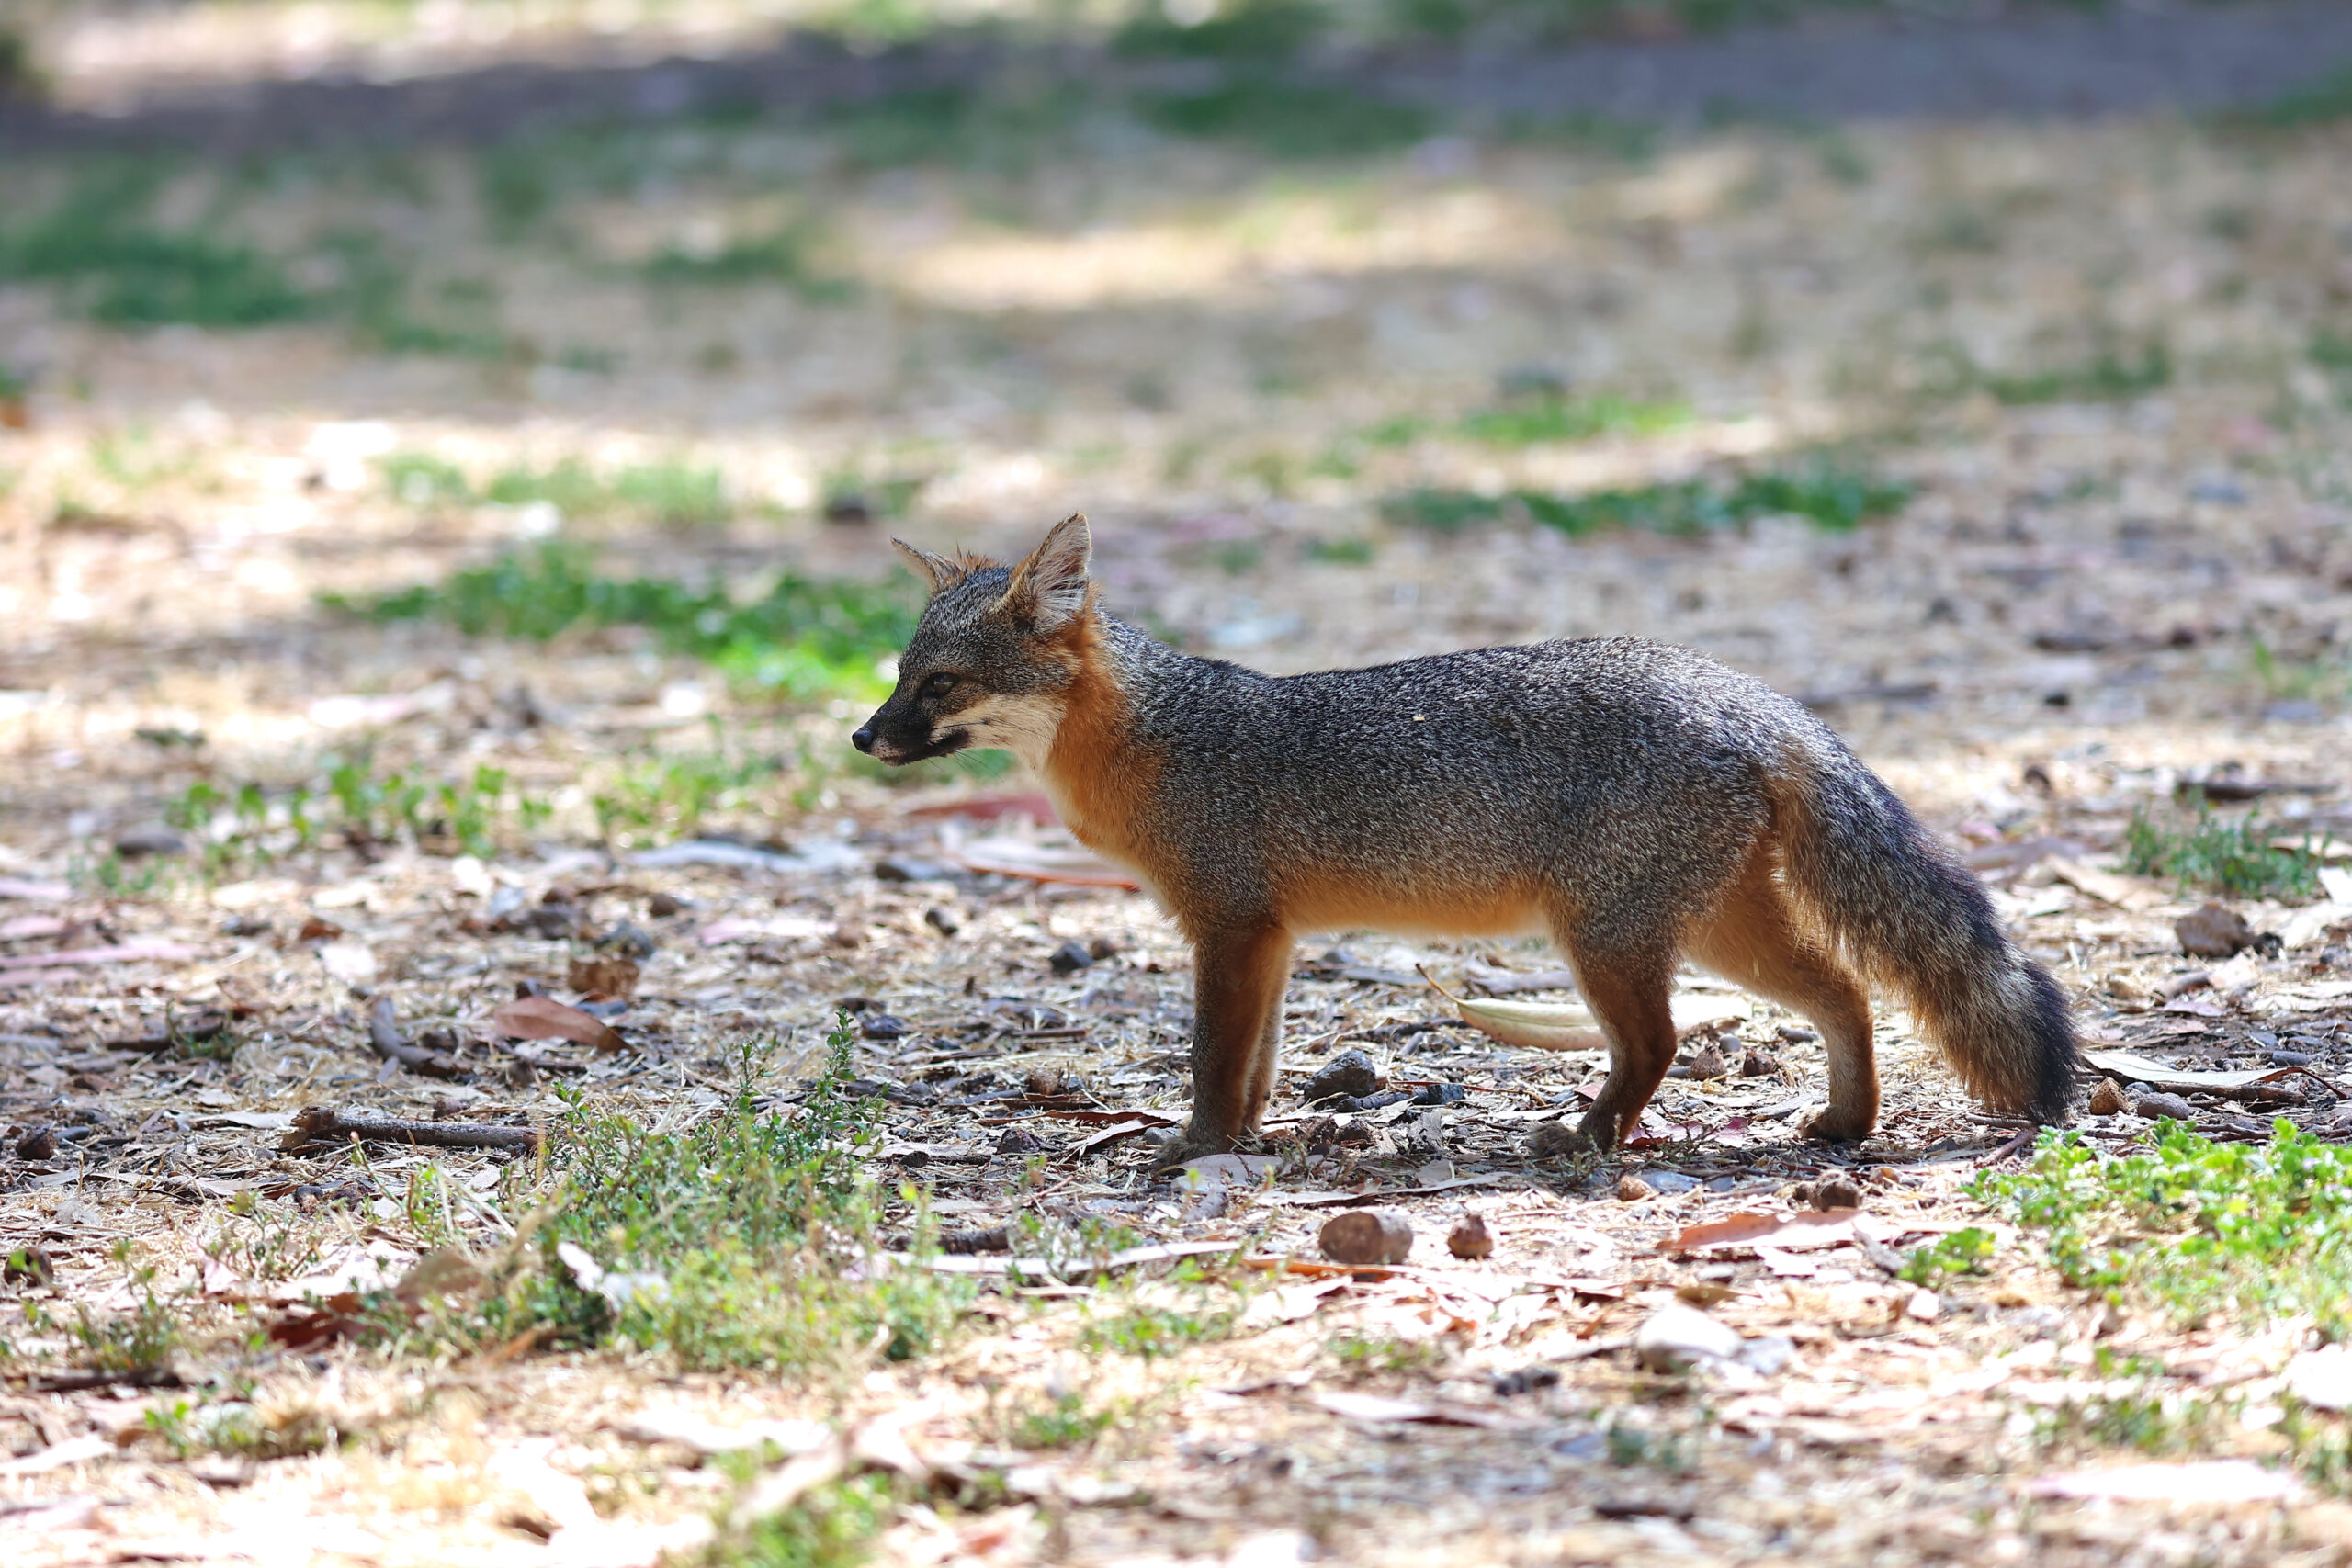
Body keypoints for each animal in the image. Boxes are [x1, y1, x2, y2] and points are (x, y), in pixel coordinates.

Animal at [855, 514, 2088, 1166]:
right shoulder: (1270, 939)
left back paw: (1585, 1138)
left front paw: (1196, 1150)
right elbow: (1254, 1064)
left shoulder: (1232, 927)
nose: (863, 735)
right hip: (1712, 928)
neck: (1156, 736)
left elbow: (1212, 1058)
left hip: (1605, 939)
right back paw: (1839, 1124)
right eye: (896, 676)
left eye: (939, 685)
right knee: (1845, 991)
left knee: (1661, 1042)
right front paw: (1246, 1139)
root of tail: (1748, 694)